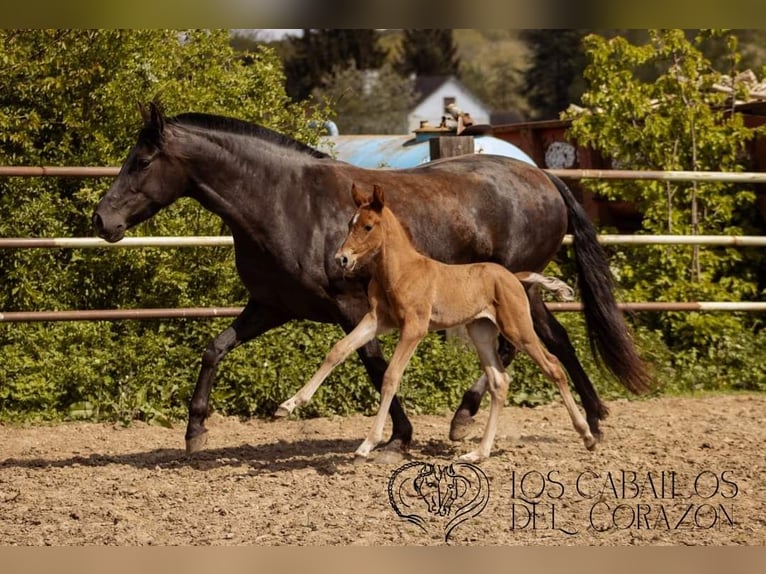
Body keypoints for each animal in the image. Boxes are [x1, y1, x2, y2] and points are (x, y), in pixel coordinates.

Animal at [276, 184, 600, 464]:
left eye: (367, 226)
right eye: (348, 224)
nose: (341, 259)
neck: (401, 271)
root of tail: (515, 277)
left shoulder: (414, 329)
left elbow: (391, 376)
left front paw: (367, 444)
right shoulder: (377, 320)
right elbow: (338, 350)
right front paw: (288, 405)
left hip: (518, 329)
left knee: (553, 366)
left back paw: (588, 435)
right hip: (481, 331)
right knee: (500, 382)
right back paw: (477, 453)